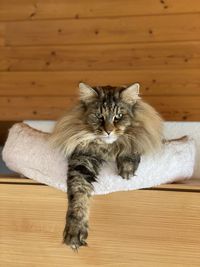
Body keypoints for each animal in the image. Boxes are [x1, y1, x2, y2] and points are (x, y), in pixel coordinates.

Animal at [49, 82, 162, 251]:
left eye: (118, 116)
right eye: (99, 116)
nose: (108, 131)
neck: (108, 148)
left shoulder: (140, 136)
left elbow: (130, 144)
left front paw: (127, 169)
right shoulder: (83, 159)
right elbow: (78, 196)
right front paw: (75, 231)